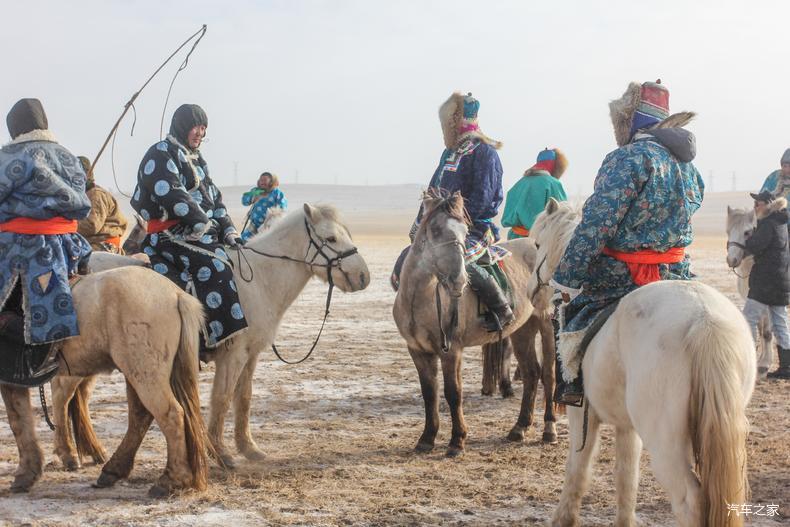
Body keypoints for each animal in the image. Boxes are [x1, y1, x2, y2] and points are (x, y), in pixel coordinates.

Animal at [528, 198, 756, 527]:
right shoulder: (627, 426)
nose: (531, 291)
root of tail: (704, 321)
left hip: (665, 441)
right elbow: (627, 478)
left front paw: (563, 517)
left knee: (690, 500)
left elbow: (578, 467)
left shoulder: (582, 412)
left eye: (537, 243)